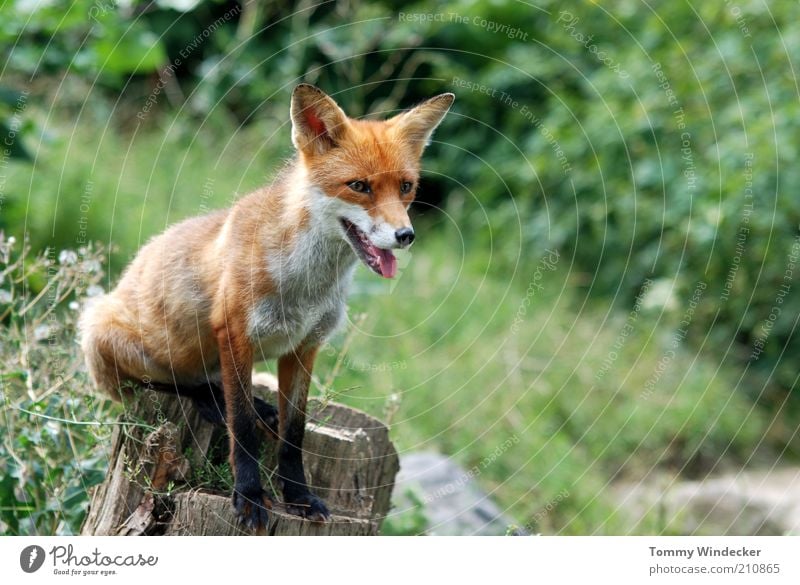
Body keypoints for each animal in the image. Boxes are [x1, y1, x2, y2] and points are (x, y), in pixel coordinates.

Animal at [81, 85, 456, 528]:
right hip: (102, 333)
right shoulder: (236, 333)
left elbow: (294, 434)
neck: (307, 286)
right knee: (165, 383)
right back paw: (210, 399)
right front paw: (249, 495)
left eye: (406, 187)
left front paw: (298, 496)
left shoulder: (305, 346)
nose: (405, 235)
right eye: (359, 186)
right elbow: (241, 427)